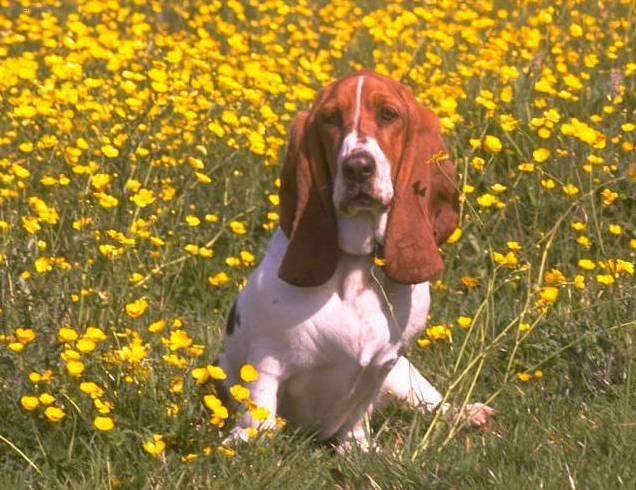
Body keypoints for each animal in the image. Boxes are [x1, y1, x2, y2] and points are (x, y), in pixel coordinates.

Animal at [216, 69, 494, 448]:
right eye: (331, 118)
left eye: (389, 115)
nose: (358, 168)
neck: (356, 267)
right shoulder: (265, 360)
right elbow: (259, 414)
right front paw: (245, 441)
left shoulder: (383, 366)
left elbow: (358, 414)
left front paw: (358, 446)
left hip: (406, 375)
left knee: (433, 404)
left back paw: (468, 413)